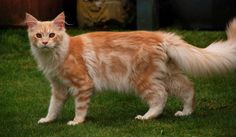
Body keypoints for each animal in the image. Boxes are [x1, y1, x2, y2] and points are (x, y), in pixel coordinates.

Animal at [25, 12, 236, 125]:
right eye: (38, 35)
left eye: (52, 35)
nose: (45, 43)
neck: (56, 55)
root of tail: (160, 36)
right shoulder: (58, 87)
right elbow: (53, 107)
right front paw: (47, 120)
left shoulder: (83, 84)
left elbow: (80, 107)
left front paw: (76, 122)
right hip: (167, 75)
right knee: (188, 88)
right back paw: (186, 112)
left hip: (142, 79)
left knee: (160, 97)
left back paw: (146, 117)